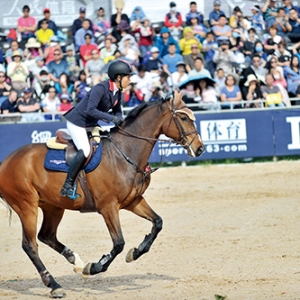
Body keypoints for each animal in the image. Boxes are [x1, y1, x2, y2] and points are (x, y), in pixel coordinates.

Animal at [0, 91, 204, 298]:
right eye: (184, 118)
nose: (200, 148)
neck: (125, 152)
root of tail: (6, 162)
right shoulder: (108, 207)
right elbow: (119, 243)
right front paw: (95, 267)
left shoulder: (133, 201)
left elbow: (157, 223)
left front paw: (135, 252)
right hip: (27, 206)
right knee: (30, 245)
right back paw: (55, 285)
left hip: (53, 206)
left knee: (47, 236)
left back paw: (76, 262)